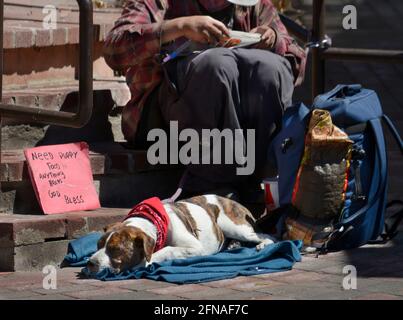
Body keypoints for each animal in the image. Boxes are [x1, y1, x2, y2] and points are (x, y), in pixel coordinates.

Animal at [86, 194, 274, 274]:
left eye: (116, 249)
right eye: (97, 245)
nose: (90, 263)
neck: (152, 222)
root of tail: (232, 200)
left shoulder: (195, 247)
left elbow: (167, 249)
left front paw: (146, 262)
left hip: (234, 226)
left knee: (267, 236)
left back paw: (262, 244)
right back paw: (233, 245)